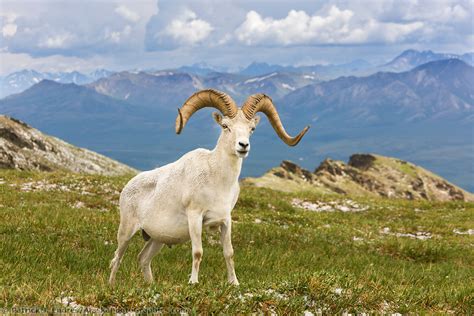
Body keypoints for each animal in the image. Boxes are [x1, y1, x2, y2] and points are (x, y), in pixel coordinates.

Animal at [110, 87, 312, 286]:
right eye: (225, 126)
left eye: (251, 129)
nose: (243, 145)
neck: (218, 181)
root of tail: (127, 188)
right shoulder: (195, 217)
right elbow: (198, 252)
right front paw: (194, 282)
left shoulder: (225, 221)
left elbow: (229, 253)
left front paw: (234, 283)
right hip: (126, 231)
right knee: (117, 258)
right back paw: (111, 285)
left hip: (156, 239)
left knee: (143, 258)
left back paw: (150, 285)